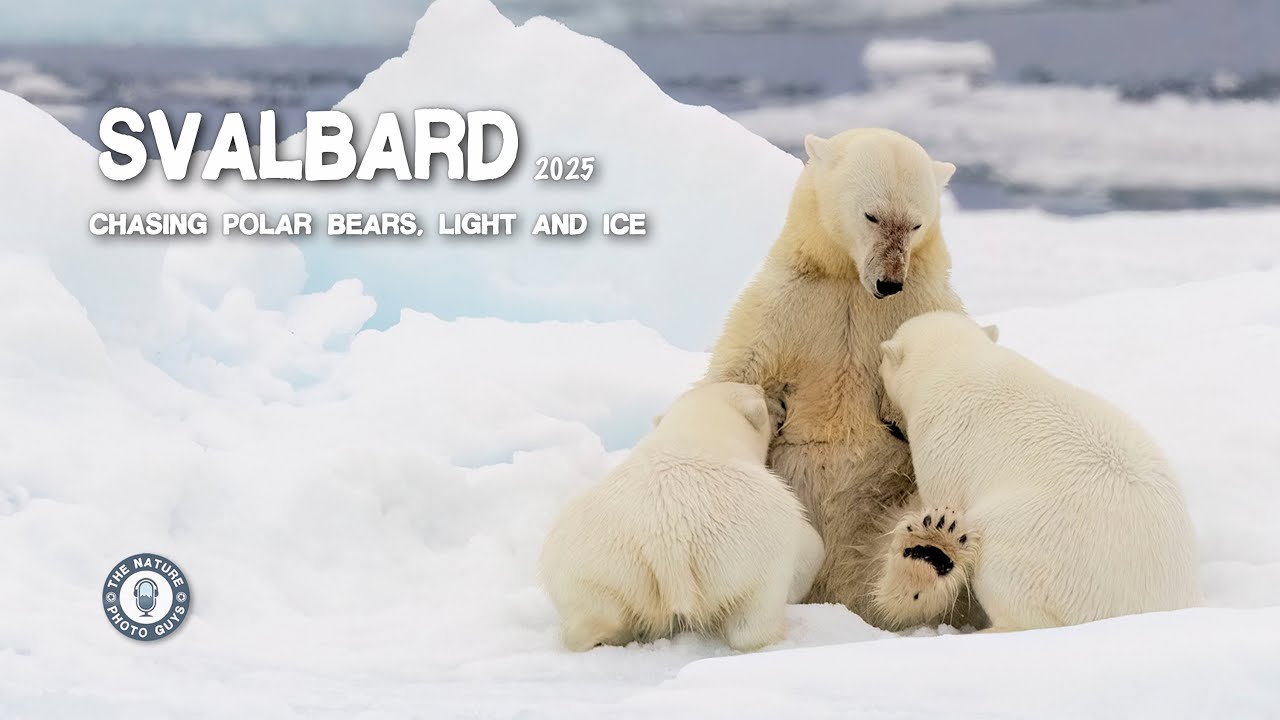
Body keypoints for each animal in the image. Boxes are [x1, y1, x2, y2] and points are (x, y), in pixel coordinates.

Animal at [538, 382, 825, 651]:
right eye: (760, 393)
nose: (780, 401)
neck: (696, 433)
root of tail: (666, 540)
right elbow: (811, 547)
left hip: (599, 568)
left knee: (594, 614)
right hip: (751, 553)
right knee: (755, 616)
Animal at [703, 127, 969, 628]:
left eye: (916, 224)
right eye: (872, 215)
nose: (889, 282)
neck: (850, 281)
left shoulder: (921, 304)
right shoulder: (787, 304)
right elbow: (738, 375)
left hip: (885, 511)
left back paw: (927, 550)